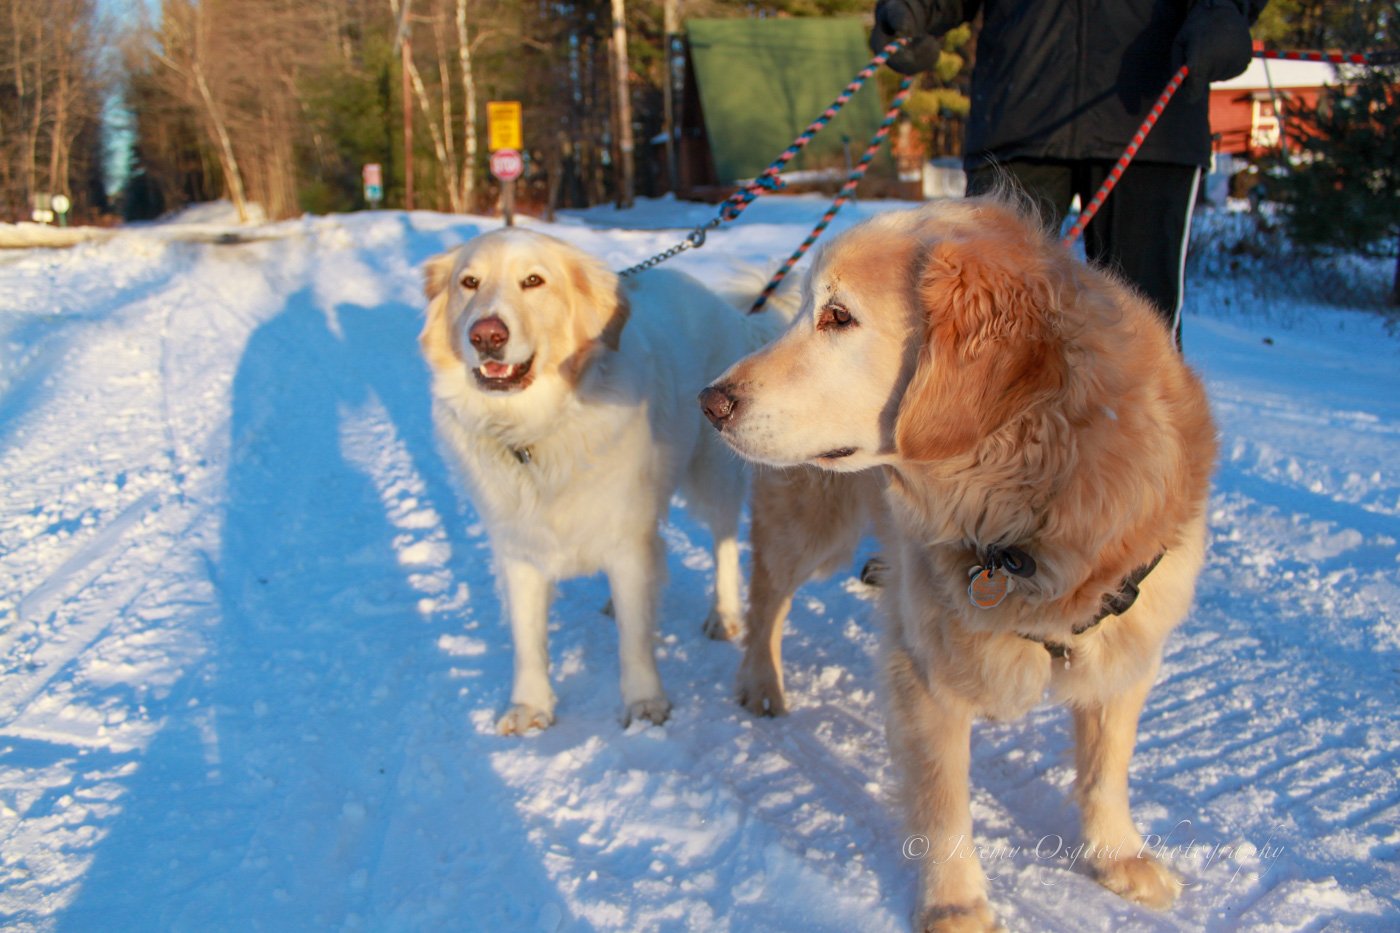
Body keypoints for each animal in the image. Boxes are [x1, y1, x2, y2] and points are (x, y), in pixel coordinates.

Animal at [420, 228, 784, 728]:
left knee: (724, 541)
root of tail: (732, 313)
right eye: (468, 282)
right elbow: (527, 639)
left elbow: (635, 637)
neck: (537, 431)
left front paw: (645, 704)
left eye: (533, 281)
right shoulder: (518, 548)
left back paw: (723, 614)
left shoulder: (628, 540)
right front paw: (529, 706)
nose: (486, 335)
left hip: (711, 475)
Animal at [705, 194, 1220, 924]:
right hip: (812, 527)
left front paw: (1117, 856)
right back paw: (761, 681)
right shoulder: (924, 668)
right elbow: (944, 800)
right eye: (815, 308)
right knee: (767, 594)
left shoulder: (1128, 647)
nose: (710, 401)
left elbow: (1105, 768)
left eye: (839, 316)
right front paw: (955, 904)